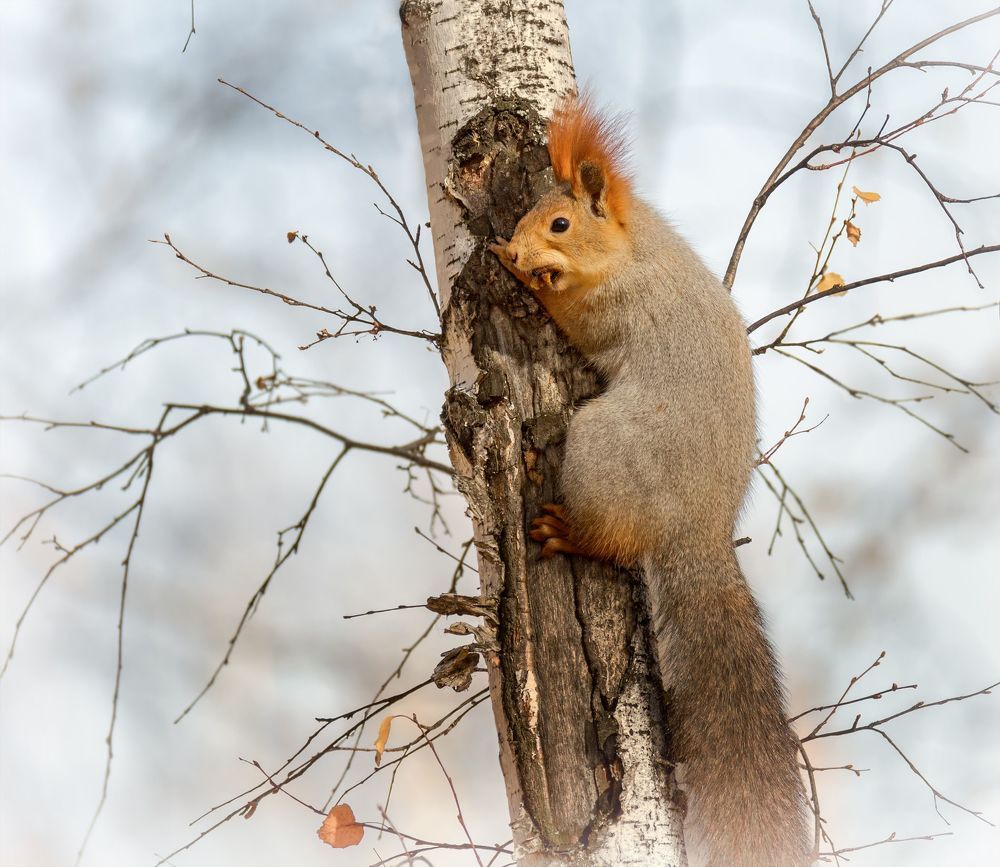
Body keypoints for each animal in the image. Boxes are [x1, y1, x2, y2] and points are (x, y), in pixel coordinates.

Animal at [490, 98, 811, 867]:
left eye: (560, 225)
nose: (520, 250)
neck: (635, 251)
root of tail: (697, 526)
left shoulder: (613, 308)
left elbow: (572, 319)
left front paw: (515, 271)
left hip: (603, 443)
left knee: (611, 538)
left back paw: (569, 531)